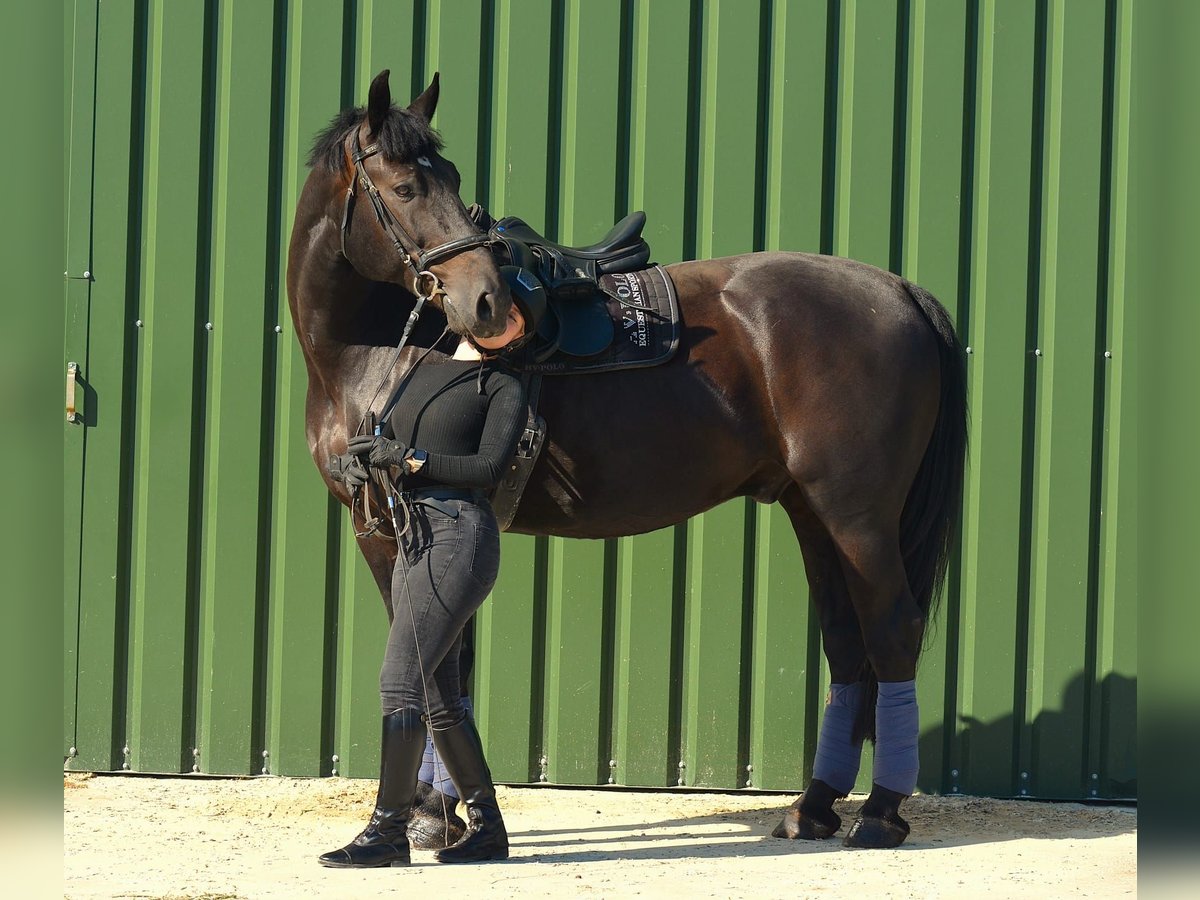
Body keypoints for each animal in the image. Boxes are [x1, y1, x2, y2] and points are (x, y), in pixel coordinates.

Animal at [288, 72, 964, 854]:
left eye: (447, 179)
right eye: (403, 186)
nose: (487, 304)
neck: (369, 352)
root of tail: (900, 291)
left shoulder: (391, 528)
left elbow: (427, 659)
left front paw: (428, 813)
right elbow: (447, 662)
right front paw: (447, 811)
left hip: (858, 516)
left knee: (892, 633)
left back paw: (880, 813)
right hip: (814, 515)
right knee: (848, 644)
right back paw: (815, 807)